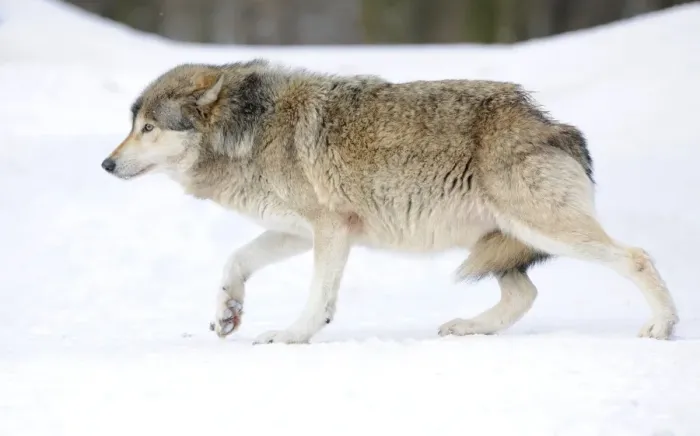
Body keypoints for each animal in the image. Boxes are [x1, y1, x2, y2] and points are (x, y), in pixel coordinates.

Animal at [101, 59, 678, 344]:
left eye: (148, 127)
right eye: (132, 125)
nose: (106, 164)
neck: (251, 129)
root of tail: (552, 123)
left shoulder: (331, 230)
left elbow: (317, 297)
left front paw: (291, 335)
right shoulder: (298, 231)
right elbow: (235, 260)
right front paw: (228, 313)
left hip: (542, 228)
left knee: (637, 257)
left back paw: (662, 326)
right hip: (497, 241)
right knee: (524, 295)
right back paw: (467, 329)